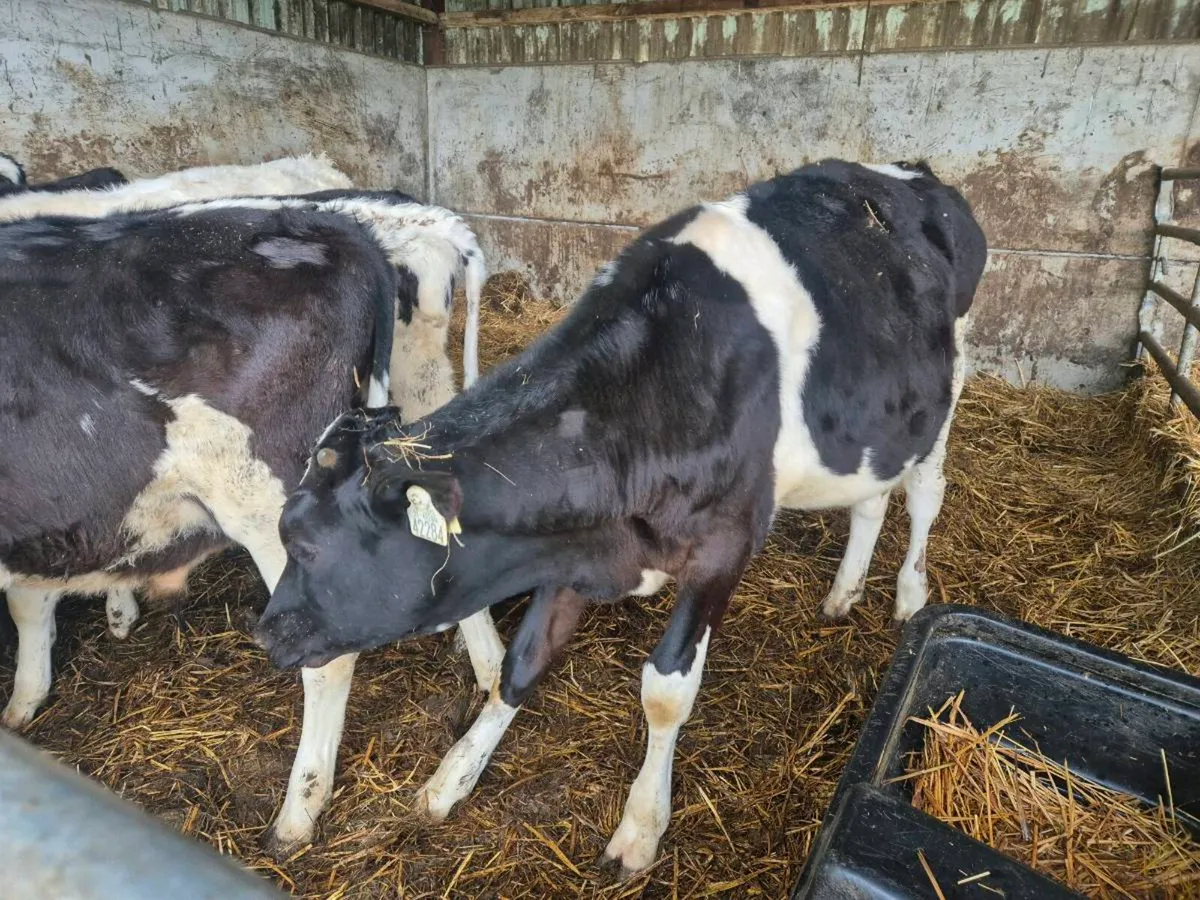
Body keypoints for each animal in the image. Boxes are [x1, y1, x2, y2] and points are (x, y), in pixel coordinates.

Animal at [0, 189, 501, 852]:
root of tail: (339, 230)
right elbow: (31, 597)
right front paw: (29, 695)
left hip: (273, 501)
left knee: (329, 657)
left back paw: (297, 816)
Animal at [253, 159, 988, 877]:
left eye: (306, 545)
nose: (265, 634)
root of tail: (917, 177)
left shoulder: (723, 547)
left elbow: (665, 691)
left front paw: (640, 827)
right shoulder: (572, 543)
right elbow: (523, 660)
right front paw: (455, 773)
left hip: (947, 390)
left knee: (927, 493)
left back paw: (909, 596)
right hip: (881, 425)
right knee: (871, 498)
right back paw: (844, 591)